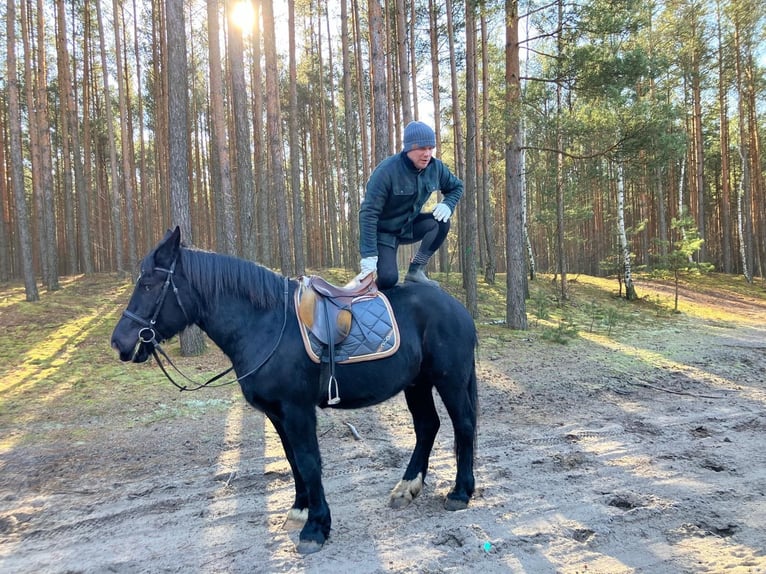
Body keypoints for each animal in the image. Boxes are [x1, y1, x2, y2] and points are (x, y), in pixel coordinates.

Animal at [111, 227, 476, 556]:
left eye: (148, 284)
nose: (119, 342)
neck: (266, 324)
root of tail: (458, 307)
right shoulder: (276, 413)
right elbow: (292, 460)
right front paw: (300, 510)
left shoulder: (297, 409)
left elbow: (309, 461)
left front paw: (315, 528)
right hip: (418, 383)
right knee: (427, 426)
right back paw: (407, 488)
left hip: (451, 379)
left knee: (464, 426)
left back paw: (460, 493)